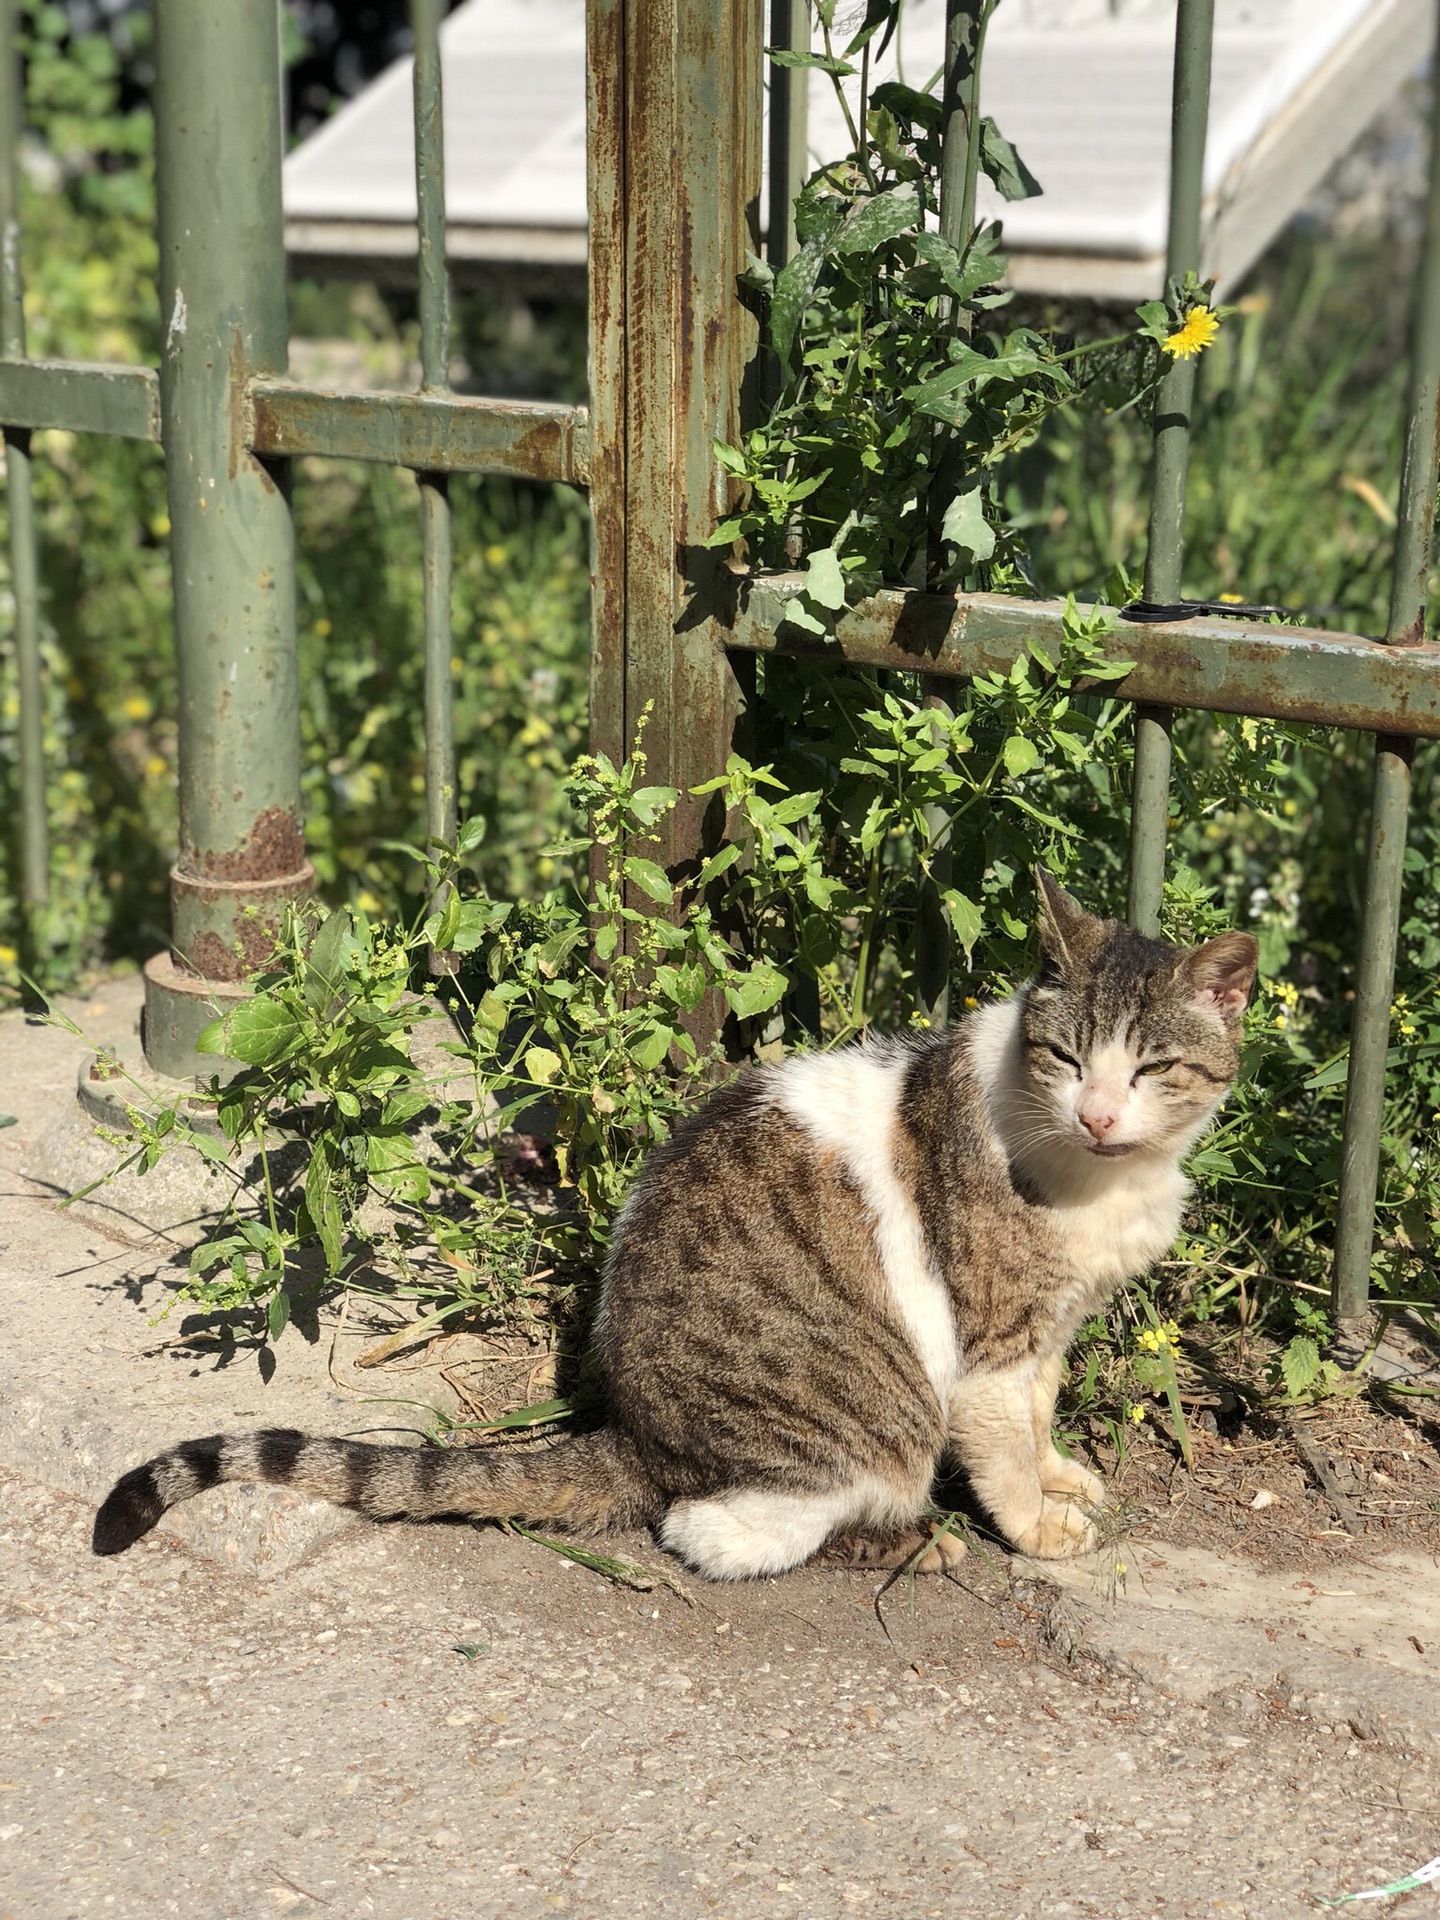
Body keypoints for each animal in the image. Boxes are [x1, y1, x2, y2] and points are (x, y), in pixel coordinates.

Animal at [96, 879, 1259, 1582]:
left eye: (1150, 1068)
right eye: (1067, 1058)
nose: (1097, 1113)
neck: (1105, 1177)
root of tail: (631, 1431)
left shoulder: (1050, 1329)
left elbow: (1042, 1415)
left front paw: (1063, 1471)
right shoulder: (989, 1347)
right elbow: (1002, 1447)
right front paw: (1041, 1526)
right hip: (874, 1419)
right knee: (719, 1526)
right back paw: (903, 1539)